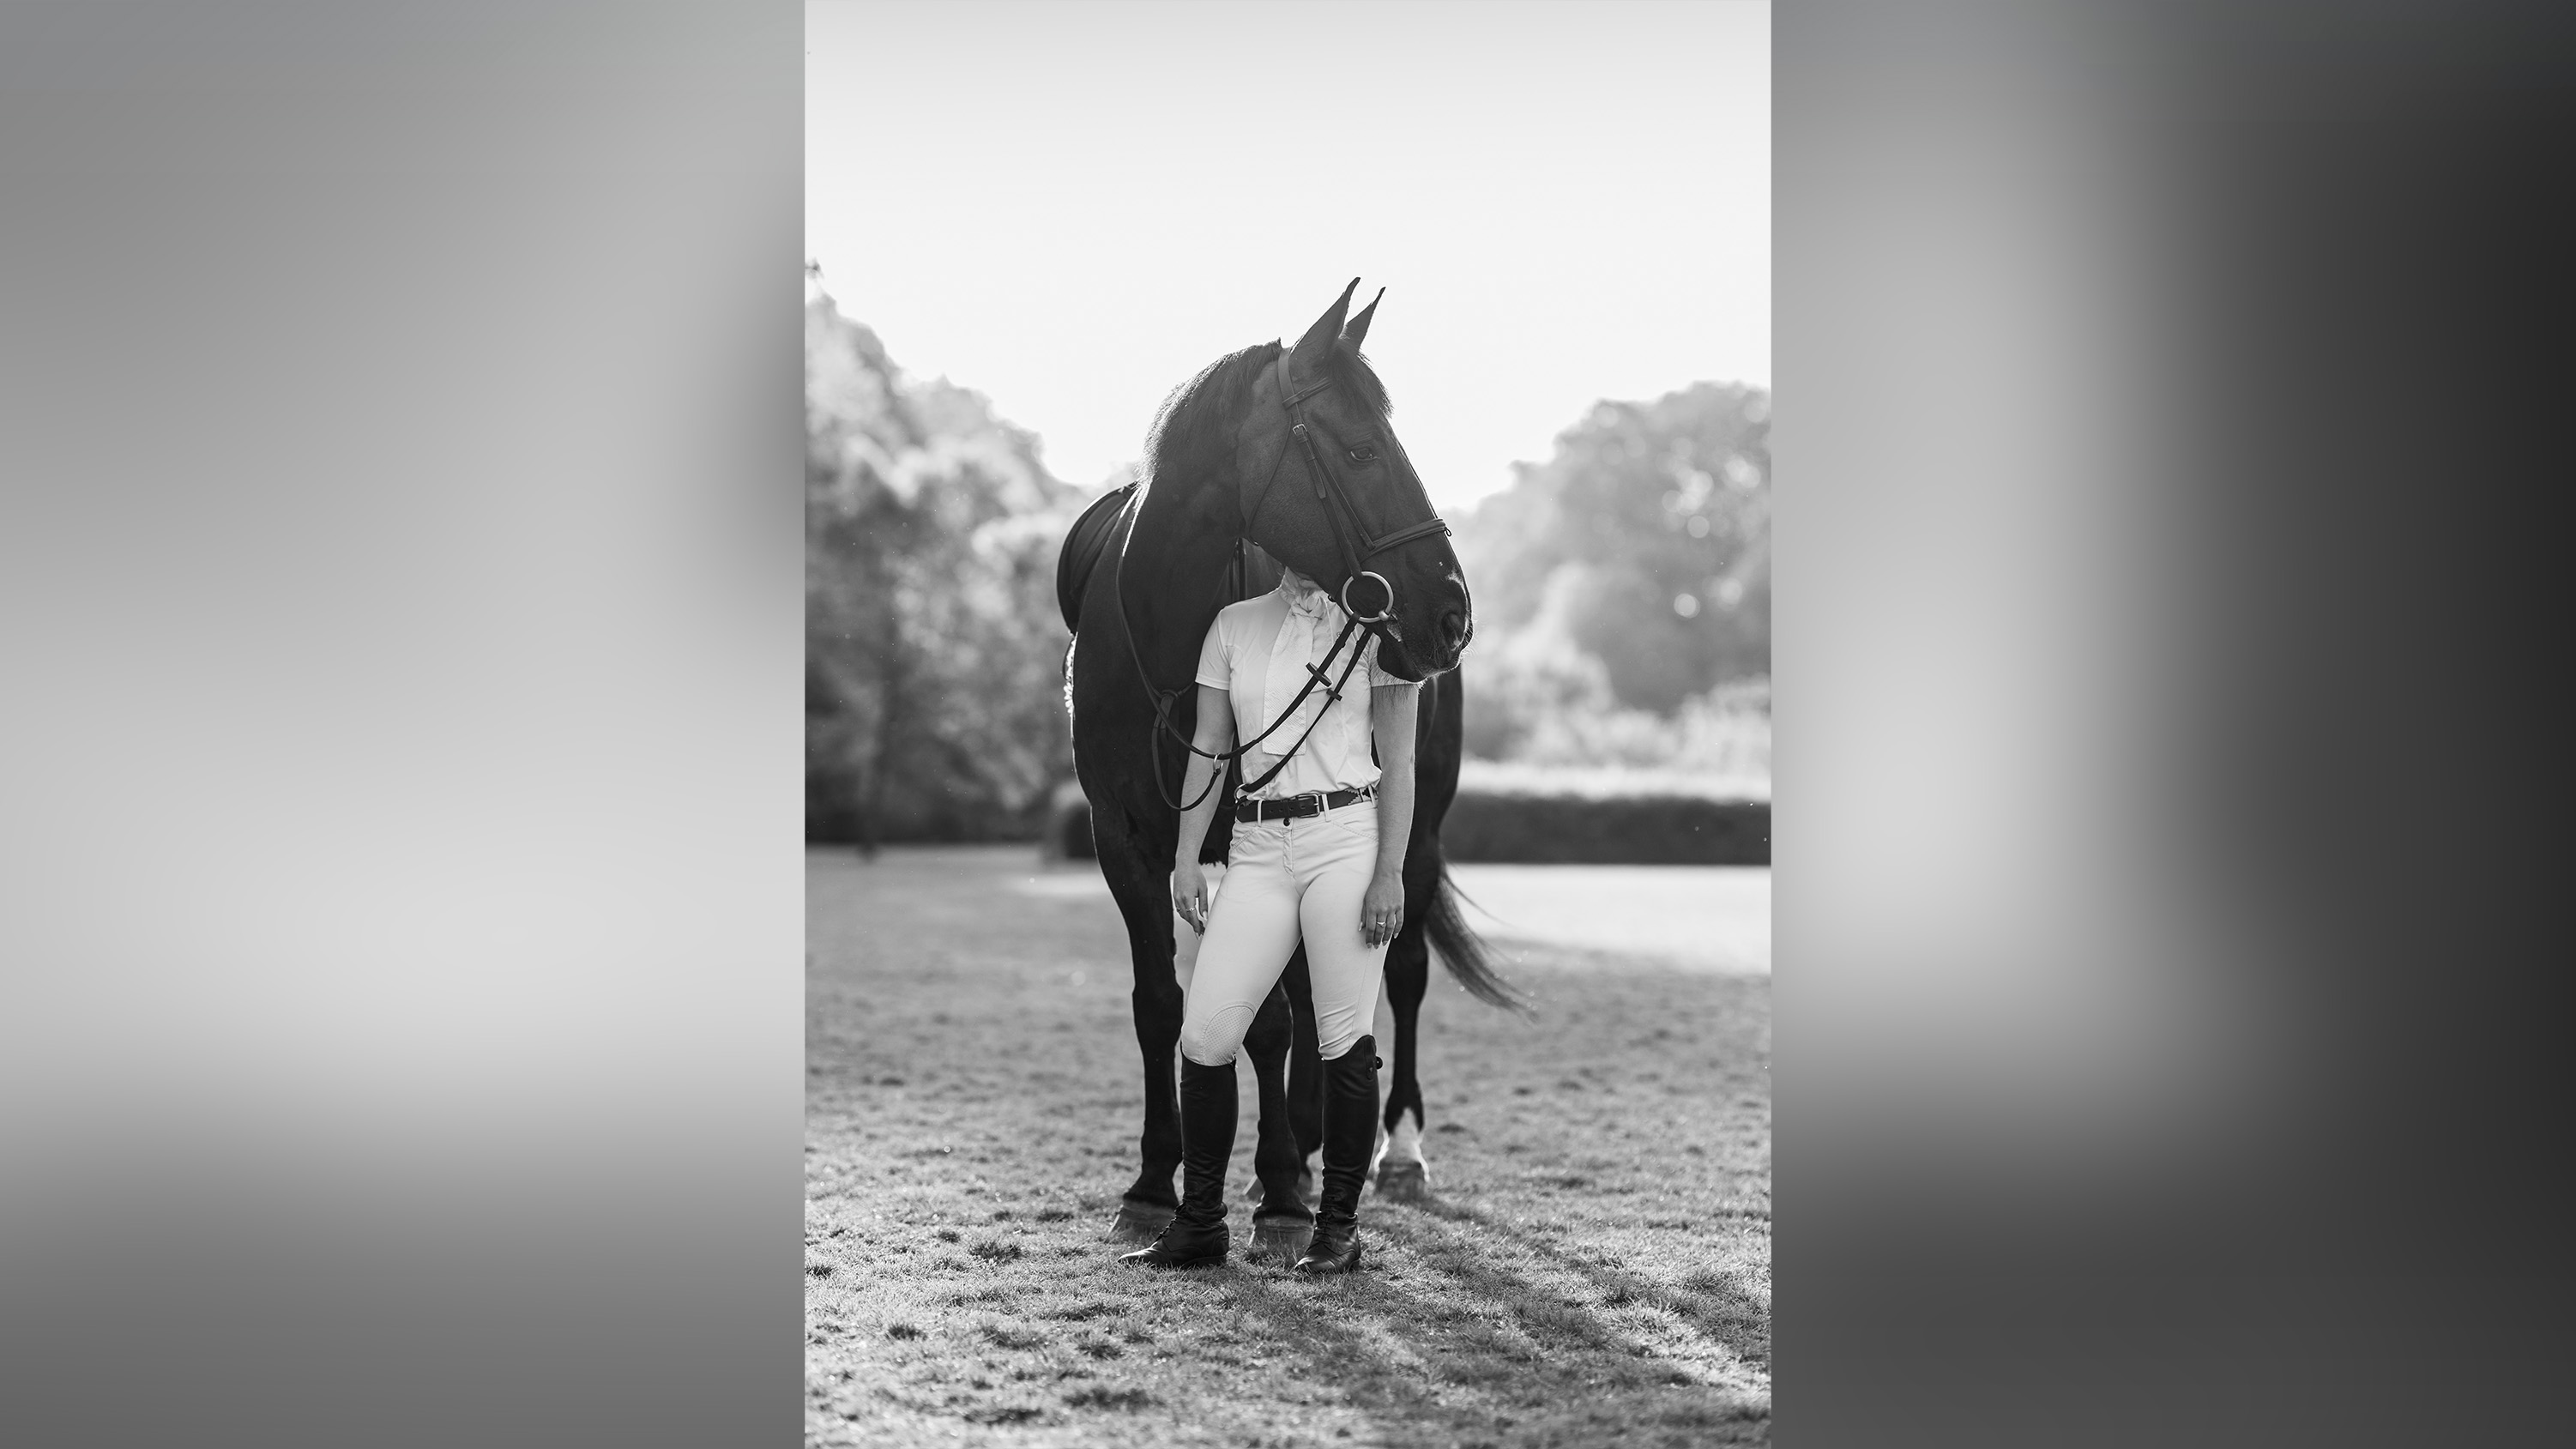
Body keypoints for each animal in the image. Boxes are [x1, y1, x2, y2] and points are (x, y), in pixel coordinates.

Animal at [1057, 280, 1520, 1262]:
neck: (1165, 624)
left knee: (1401, 971)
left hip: (1414, 832)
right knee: (1316, 988)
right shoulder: (1122, 840)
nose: (1452, 610)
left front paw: (1274, 1188)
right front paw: (1155, 1182)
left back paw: (1388, 1150)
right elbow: (1162, 1003)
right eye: (1361, 449)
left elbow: (1267, 1020)